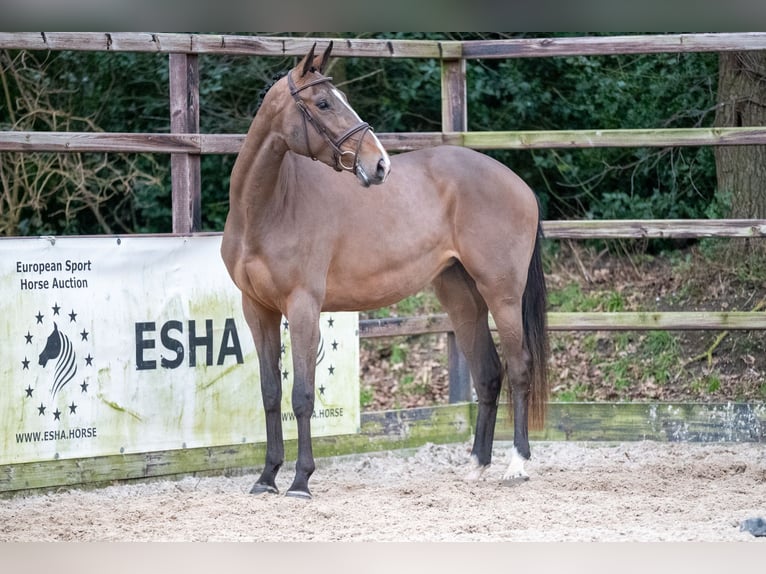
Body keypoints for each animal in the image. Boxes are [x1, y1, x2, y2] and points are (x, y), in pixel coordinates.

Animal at [219, 42, 548, 500]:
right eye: (323, 102)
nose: (380, 165)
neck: (266, 209)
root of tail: (518, 183)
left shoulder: (303, 307)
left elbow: (302, 396)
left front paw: (301, 480)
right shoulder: (257, 309)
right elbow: (270, 394)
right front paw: (266, 478)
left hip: (502, 294)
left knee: (518, 368)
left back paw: (516, 464)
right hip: (461, 297)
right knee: (488, 374)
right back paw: (477, 466)